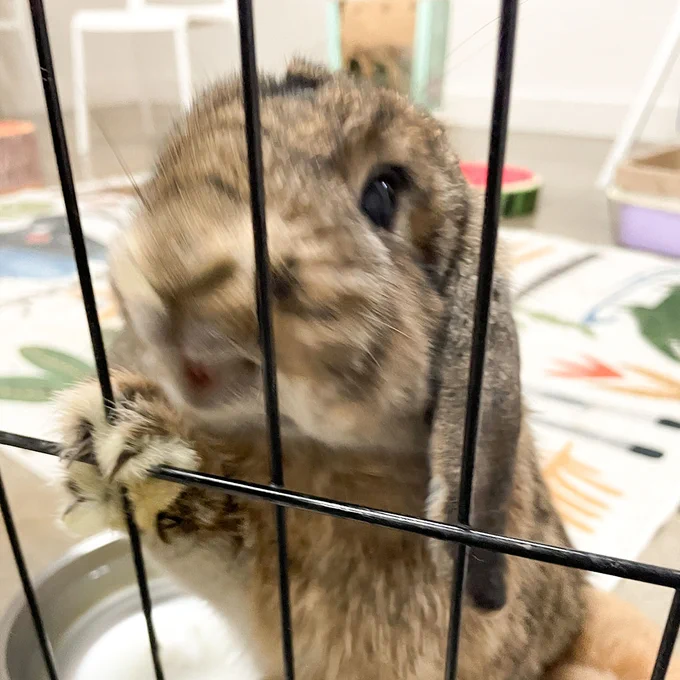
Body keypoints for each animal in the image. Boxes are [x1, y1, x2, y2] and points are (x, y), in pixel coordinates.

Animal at [56, 59, 588, 680]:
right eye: (172, 158)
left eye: (383, 193)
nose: (176, 264)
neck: (316, 458)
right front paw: (110, 438)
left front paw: (134, 437)